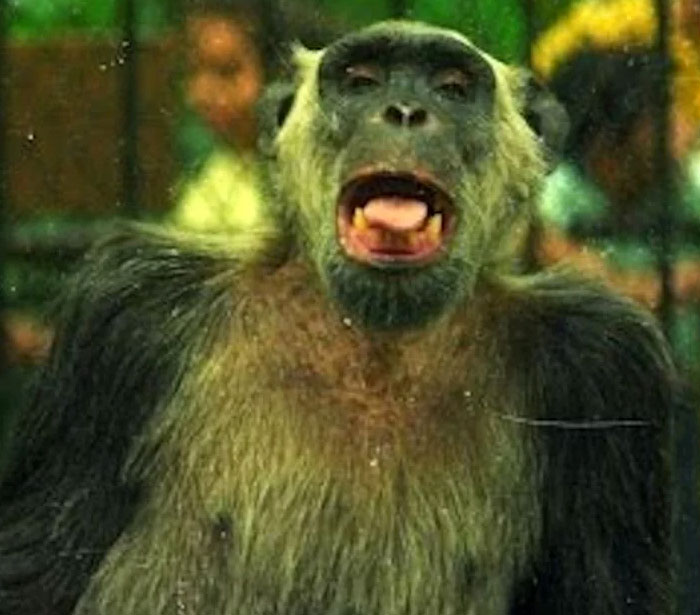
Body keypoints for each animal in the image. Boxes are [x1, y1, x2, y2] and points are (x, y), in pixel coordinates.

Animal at [0, 21, 676, 615]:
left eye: (453, 87)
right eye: (361, 80)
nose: (405, 111)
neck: (372, 346)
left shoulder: (605, 364)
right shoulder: (128, 313)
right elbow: (38, 568)